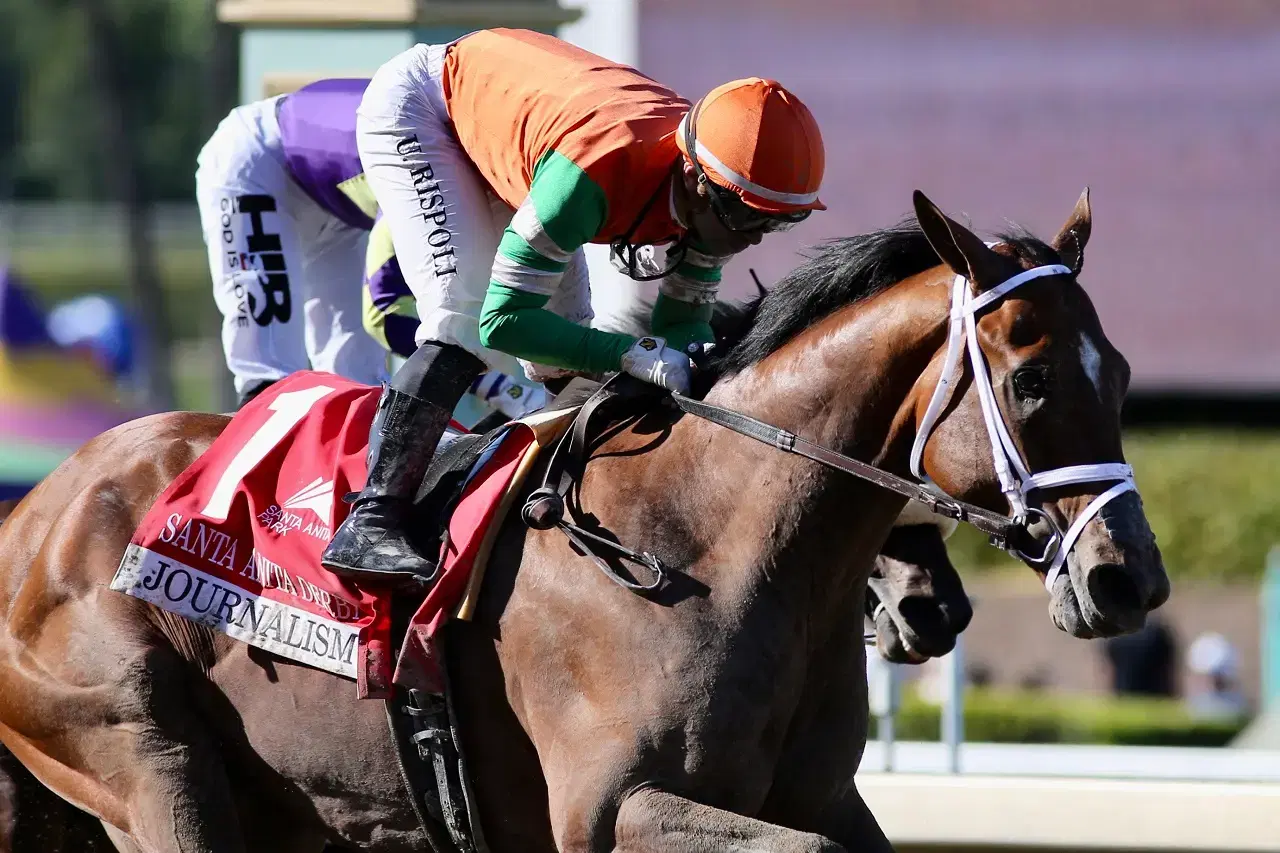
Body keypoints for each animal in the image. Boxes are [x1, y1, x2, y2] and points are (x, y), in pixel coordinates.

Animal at [0, 189, 1167, 853]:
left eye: (1118, 374)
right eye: (1030, 382)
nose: (1129, 580)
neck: (707, 539)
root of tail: (34, 515)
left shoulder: (821, 796)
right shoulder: (613, 808)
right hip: (144, 755)